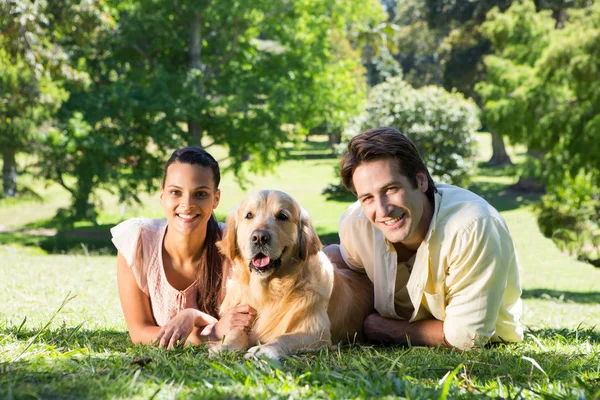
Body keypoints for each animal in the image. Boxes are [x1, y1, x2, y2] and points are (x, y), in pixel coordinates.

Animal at [210, 191, 370, 360]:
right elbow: (236, 332)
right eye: (249, 215)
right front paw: (224, 346)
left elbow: (283, 338)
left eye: (282, 216)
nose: (259, 237)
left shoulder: (317, 332)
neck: (268, 292)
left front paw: (263, 350)